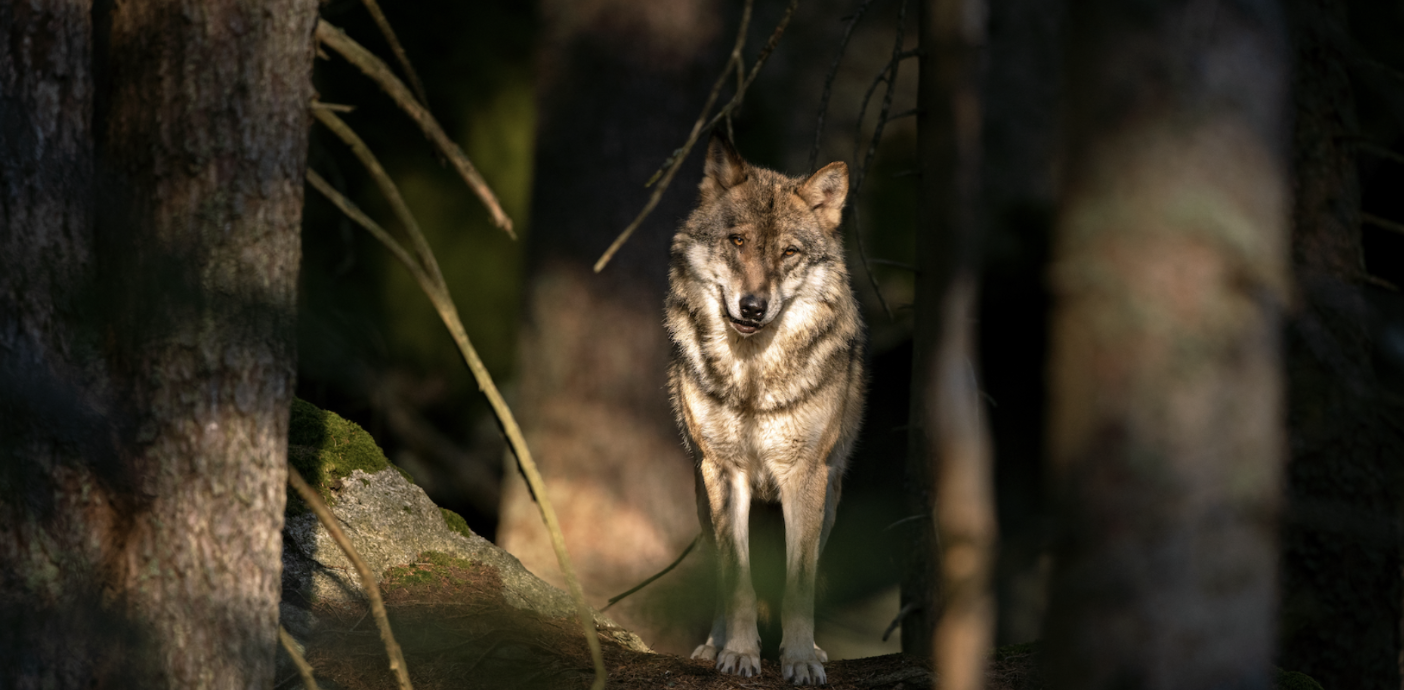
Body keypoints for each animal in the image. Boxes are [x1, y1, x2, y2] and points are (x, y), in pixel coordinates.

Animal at [665, 134, 866, 686]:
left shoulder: (805, 475)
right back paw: (713, 645)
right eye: (737, 242)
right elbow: (737, 577)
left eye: (789, 252)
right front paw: (738, 653)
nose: (753, 307)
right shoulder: (724, 471)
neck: (754, 381)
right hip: (703, 497)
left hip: (831, 499)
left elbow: (799, 585)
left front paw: (798, 659)